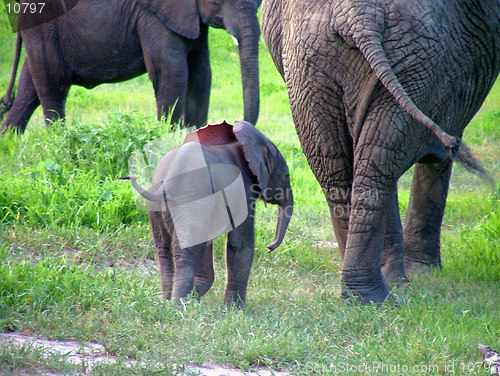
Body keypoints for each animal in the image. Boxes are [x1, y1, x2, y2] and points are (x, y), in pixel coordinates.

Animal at [1, 0, 262, 134]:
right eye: (219, 0)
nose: (238, 125)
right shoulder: (154, 16)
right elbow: (172, 73)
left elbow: (201, 74)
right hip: (44, 25)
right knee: (52, 84)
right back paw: (60, 141)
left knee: (29, 91)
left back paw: (11, 142)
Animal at [122, 122, 292, 306]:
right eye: (287, 175)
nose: (269, 247)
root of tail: (166, 182)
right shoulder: (244, 192)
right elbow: (240, 244)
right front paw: (236, 309)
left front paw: (197, 296)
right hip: (190, 200)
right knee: (186, 253)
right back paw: (178, 305)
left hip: (158, 208)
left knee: (163, 249)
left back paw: (167, 301)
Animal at [262, 0, 500, 302]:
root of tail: (358, 14)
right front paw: (424, 273)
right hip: (416, 59)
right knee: (377, 160)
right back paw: (378, 292)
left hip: (315, 62)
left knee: (342, 165)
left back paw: (363, 294)